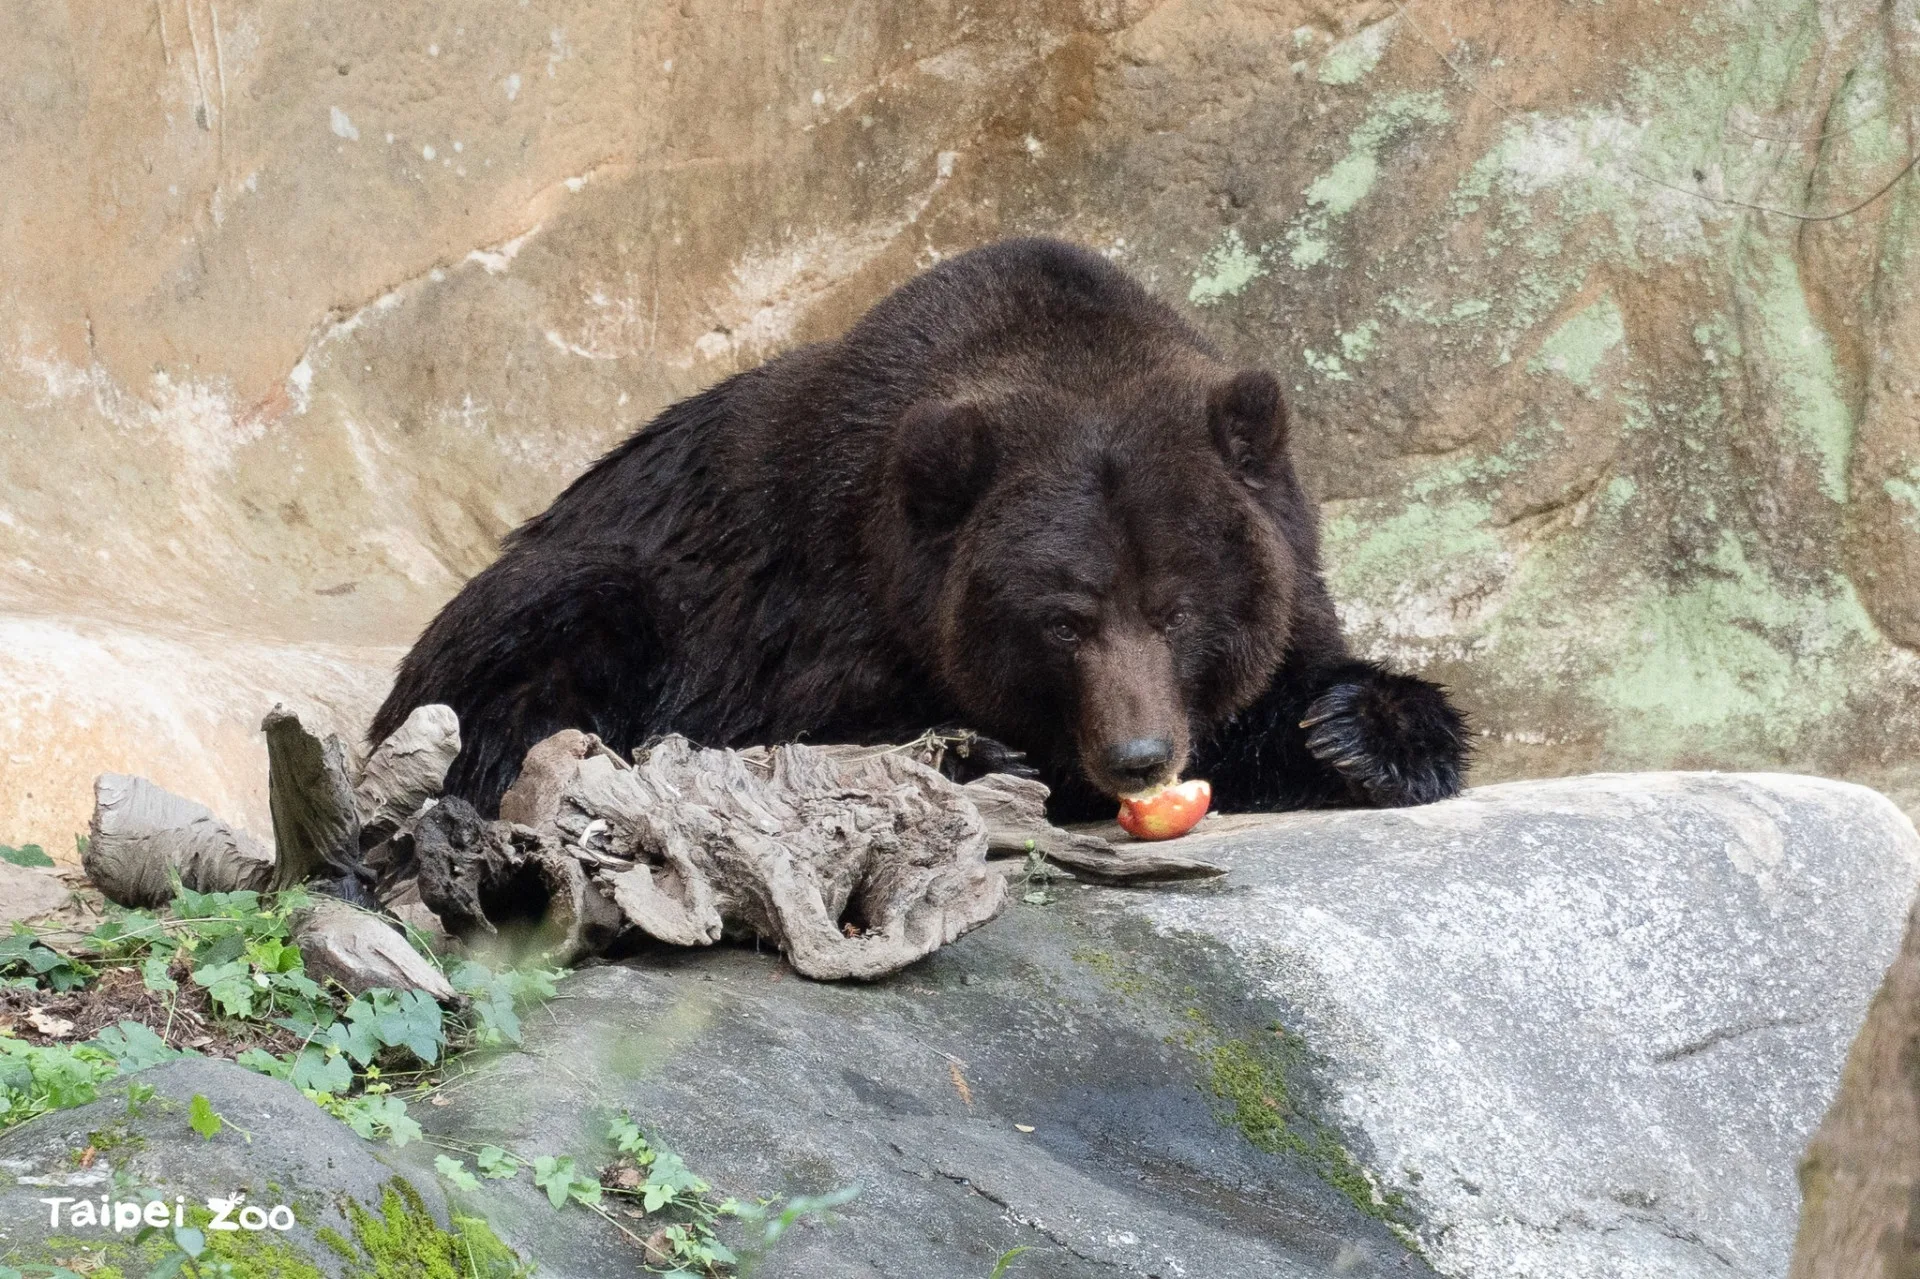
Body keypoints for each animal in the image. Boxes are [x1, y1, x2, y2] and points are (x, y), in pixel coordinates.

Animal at [370, 237, 1468, 821]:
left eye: (1178, 609)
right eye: (1063, 619)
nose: (1139, 754)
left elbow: (1297, 685)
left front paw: (1359, 732)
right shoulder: (806, 605)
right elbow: (780, 725)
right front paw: (978, 754)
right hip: (580, 581)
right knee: (555, 627)